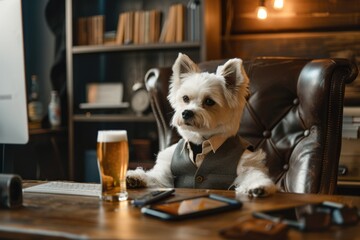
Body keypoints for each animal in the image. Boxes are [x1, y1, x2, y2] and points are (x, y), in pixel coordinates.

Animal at [128, 53, 278, 197]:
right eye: (185, 98)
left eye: (209, 101)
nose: (186, 112)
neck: (199, 143)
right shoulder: (166, 172)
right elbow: (155, 178)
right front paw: (136, 177)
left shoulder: (246, 164)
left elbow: (253, 175)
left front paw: (260, 186)